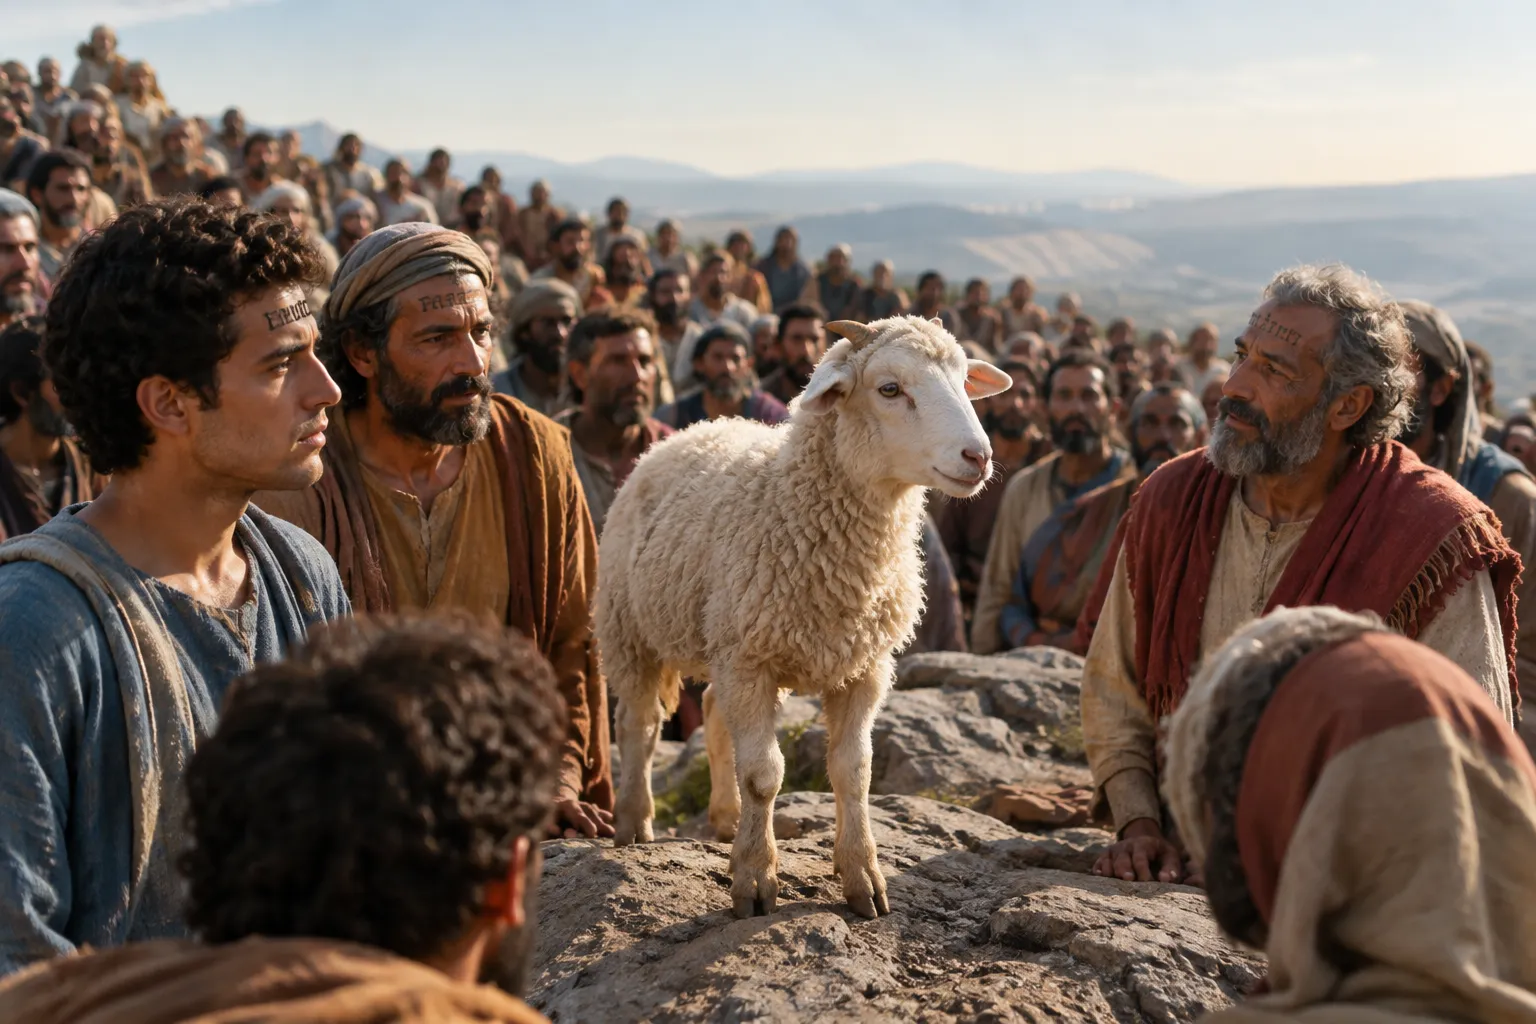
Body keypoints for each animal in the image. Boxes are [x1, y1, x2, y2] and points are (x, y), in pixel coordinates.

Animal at [596, 315, 1012, 920]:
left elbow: (854, 772)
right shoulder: (751, 662)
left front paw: (862, 877)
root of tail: (693, 430)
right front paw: (755, 880)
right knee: (640, 725)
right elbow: (764, 774)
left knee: (714, 711)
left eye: (963, 381)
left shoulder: (864, 668)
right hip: (631, 628)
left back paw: (726, 819)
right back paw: (634, 821)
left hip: (726, 637)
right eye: (890, 389)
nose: (977, 457)